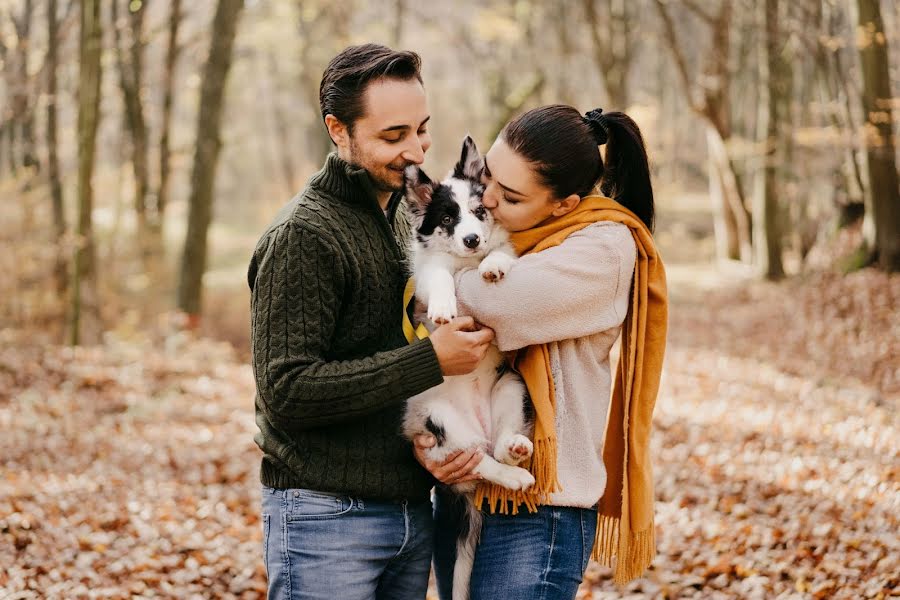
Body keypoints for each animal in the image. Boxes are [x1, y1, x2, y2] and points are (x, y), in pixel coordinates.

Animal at [402, 135, 536, 600]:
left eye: (480, 211)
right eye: (447, 218)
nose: (473, 239)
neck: (465, 263)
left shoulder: (505, 249)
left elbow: (505, 253)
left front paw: (493, 263)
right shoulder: (427, 276)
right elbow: (440, 276)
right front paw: (445, 308)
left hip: (510, 385)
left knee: (498, 446)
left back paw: (516, 451)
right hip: (438, 422)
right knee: (480, 461)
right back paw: (511, 478)